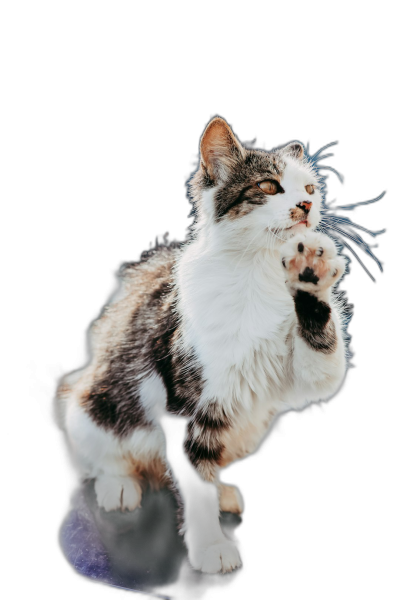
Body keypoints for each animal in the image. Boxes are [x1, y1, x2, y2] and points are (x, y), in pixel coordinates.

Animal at [55, 116, 350, 572]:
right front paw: (211, 549)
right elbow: (195, 489)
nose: (306, 206)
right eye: (269, 186)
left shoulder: (305, 376)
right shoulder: (183, 405)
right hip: (91, 400)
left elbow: (324, 359)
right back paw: (119, 485)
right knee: (105, 452)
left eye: (311, 189)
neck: (257, 273)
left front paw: (311, 274)